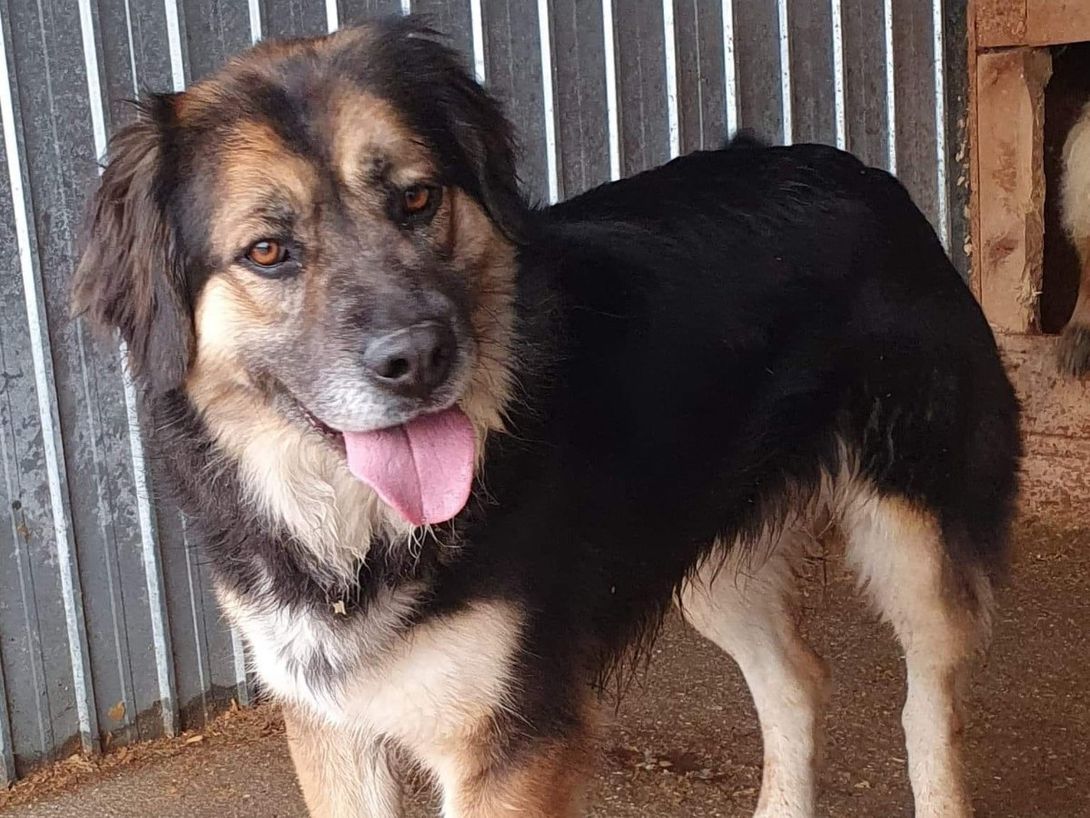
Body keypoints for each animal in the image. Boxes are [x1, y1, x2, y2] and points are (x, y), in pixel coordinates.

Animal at [72, 19, 1020, 818]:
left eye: (417, 199)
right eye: (268, 251)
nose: (418, 360)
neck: (355, 530)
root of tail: (863, 171)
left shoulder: (509, 744)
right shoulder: (329, 725)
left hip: (911, 534)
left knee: (930, 706)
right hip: (709, 552)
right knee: (798, 679)